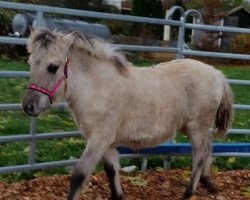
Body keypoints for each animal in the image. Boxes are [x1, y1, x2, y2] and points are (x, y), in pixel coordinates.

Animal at [22, 28, 233, 200]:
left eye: (53, 67)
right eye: (30, 63)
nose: (28, 106)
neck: (98, 87)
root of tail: (217, 74)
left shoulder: (99, 140)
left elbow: (78, 176)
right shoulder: (106, 143)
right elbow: (111, 172)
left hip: (196, 127)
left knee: (200, 155)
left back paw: (188, 193)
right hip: (199, 128)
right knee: (208, 148)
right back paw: (207, 182)